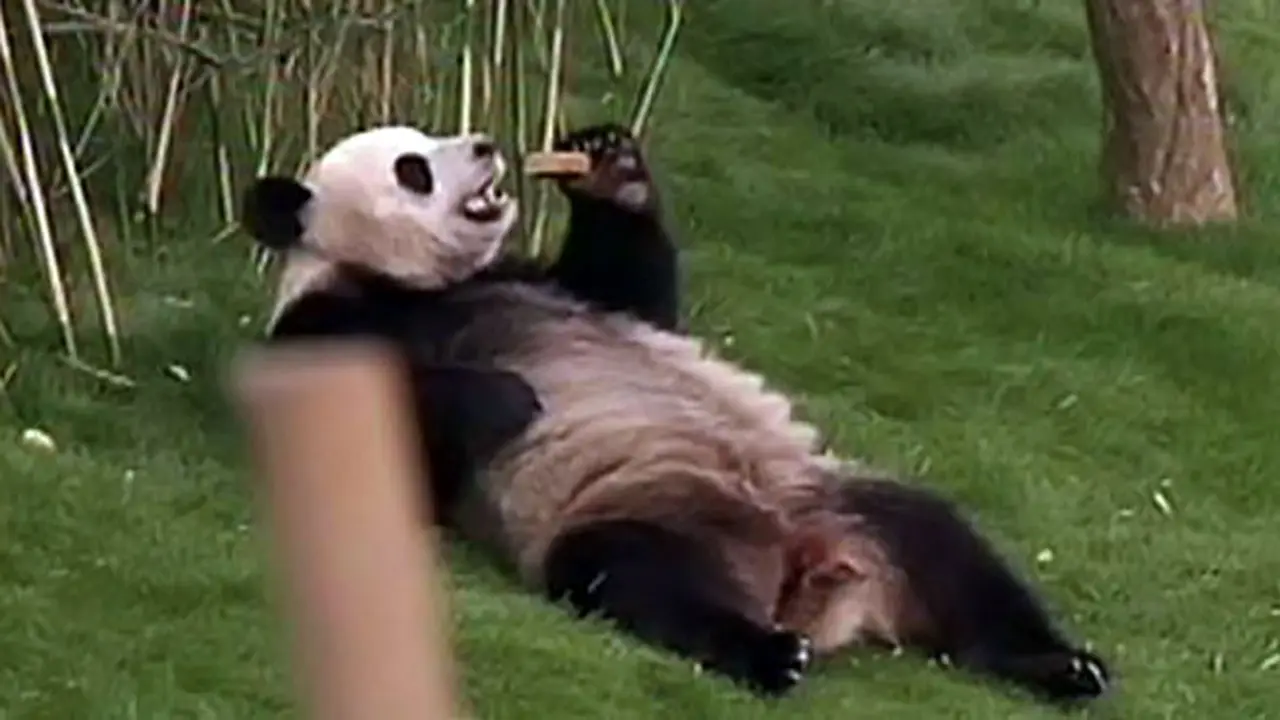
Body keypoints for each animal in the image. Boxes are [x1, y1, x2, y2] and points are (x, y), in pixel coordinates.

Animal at [240, 122, 1112, 706]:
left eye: (431, 138)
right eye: (414, 168)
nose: (486, 145)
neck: (421, 281)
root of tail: (806, 576)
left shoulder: (556, 279)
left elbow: (642, 295)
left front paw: (607, 162)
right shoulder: (336, 317)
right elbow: (381, 441)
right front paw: (510, 395)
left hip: (839, 498)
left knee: (948, 548)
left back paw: (1059, 664)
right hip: (647, 506)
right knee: (634, 576)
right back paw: (770, 655)